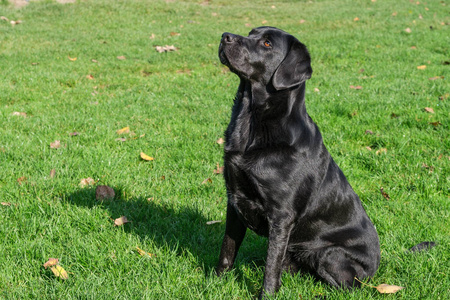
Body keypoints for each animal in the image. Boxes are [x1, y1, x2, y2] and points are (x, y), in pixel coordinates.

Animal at [217, 27, 380, 298]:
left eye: (267, 43)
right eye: (251, 32)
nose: (225, 36)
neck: (250, 123)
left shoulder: (281, 216)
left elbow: (270, 267)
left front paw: (266, 294)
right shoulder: (234, 200)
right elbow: (227, 250)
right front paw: (215, 282)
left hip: (329, 254)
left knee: (350, 287)